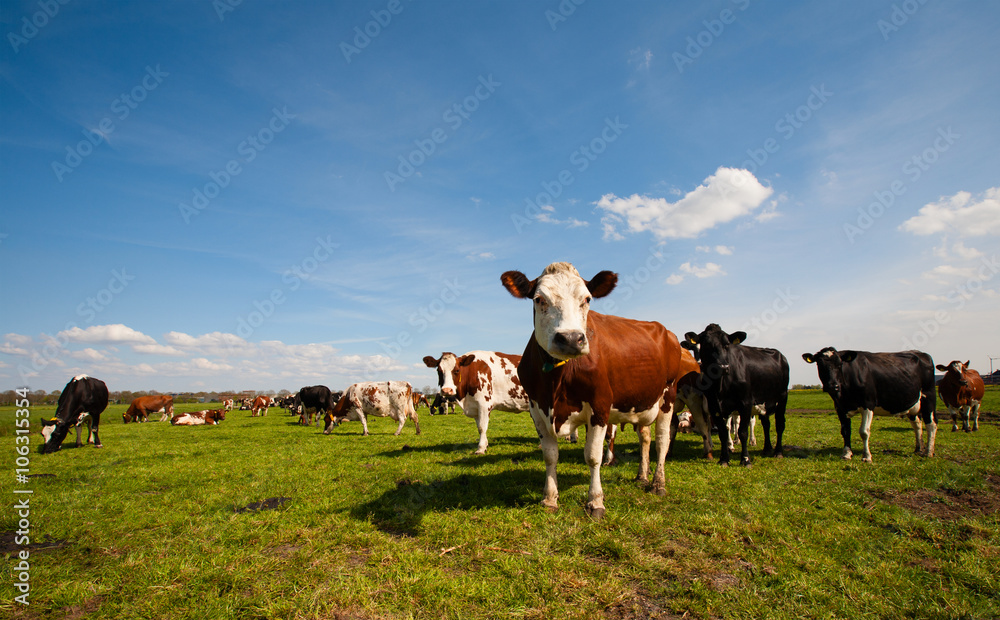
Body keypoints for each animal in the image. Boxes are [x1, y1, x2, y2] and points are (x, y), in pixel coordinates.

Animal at [501, 262, 684, 519]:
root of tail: (665, 330)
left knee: (662, 440)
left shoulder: (600, 406)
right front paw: (549, 499)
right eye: (539, 299)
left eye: (587, 299)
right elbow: (550, 455)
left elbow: (593, 456)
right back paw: (642, 476)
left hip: (668, 394)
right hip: (642, 400)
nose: (570, 338)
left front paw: (596, 501)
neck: (556, 380)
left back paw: (658, 484)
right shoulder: (537, 409)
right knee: (645, 438)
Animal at [684, 325, 789, 467]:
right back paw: (767, 449)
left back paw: (777, 451)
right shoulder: (713, 406)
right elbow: (722, 431)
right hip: (764, 403)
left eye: (727, 345)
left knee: (778, 425)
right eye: (705, 345)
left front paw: (745, 459)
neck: (720, 385)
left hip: (782, 398)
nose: (723, 367)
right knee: (766, 424)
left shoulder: (745, 403)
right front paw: (724, 458)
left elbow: (742, 431)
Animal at [803, 347, 938, 461]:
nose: (832, 386)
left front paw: (866, 456)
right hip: (912, 404)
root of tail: (922, 354)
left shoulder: (868, 404)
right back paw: (918, 449)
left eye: (840, 364)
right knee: (917, 424)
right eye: (820, 365)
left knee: (931, 424)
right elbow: (845, 431)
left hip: (929, 397)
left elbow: (864, 431)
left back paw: (928, 452)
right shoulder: (840, 407)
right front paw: (846, 453)